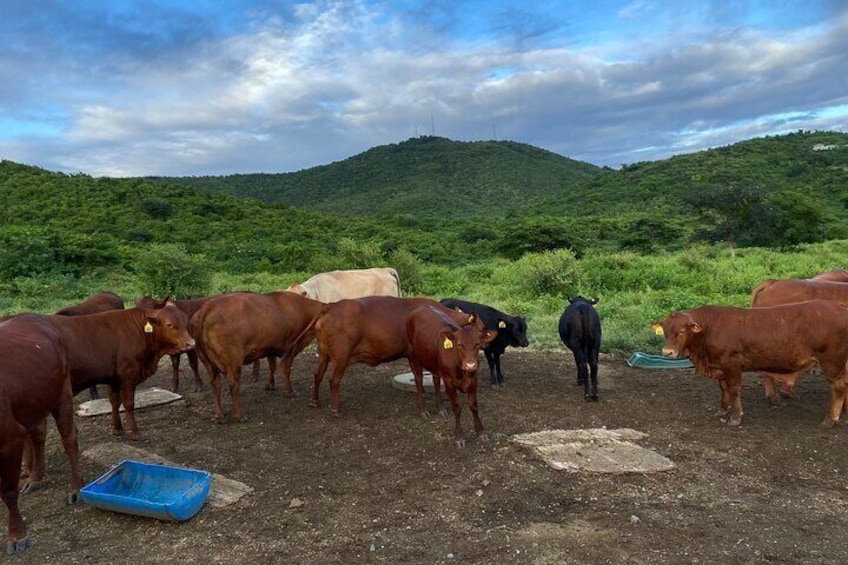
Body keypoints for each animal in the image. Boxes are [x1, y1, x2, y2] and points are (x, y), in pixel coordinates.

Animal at [0, 312, 83, 556]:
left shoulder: (10, 439)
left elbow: (8, 492)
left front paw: (17, 536)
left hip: (63, 393)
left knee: (69, 438)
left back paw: (76, 488)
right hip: (35, 399)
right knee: (38, 433)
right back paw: (35, 478)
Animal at [190, 290, 322, 424]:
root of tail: (208, 305)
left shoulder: (271, 346)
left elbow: (272, 366)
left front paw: (270, 385)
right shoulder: (292, 345)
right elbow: (285, 368)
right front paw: (290, 391)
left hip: (206, 361)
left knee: (215, 384)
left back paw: (218, 416)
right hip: (233, 361)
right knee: (233, 384)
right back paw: (239, 415)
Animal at [308, 296, 480, 414]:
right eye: (481, 327)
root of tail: (331, 305)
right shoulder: (416, 355)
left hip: (323, 353)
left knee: (318, 374)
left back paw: (314, 401)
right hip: (341, 357)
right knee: (334, 380)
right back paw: (335, 408)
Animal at [406, 306, 496, 448]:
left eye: (477, 344)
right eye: (459, 345)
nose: (470, 365)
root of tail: (420, 308)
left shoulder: (474, 379)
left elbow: (474, 406)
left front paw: (481, 433)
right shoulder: (449, 381)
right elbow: (457, 408)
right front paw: (459, 437)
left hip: (434, 363)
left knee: (436, 380)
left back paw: (441, 409)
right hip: (414, 357)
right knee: (418, 380)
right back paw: (423, 410)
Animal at [652, 300, 848, 424]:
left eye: (682, 331)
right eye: (665, 331)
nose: (667, 352)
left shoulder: (732, 364)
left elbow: (733, 389)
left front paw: (736, 417)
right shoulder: (720, 366)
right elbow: (723, 388)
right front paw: (723, 409)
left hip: (832, 362)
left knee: (838, 388)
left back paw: (830, 420)